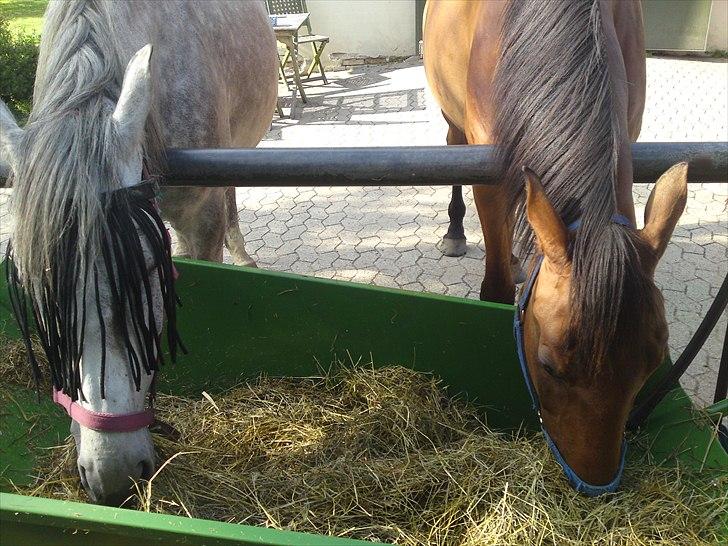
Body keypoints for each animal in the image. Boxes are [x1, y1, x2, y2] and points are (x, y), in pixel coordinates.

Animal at [424, 0, 684, 484]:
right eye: (548, 365)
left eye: (653, 362)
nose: (597, 481)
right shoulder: (489, 180)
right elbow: (496, 289)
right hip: (454, 124)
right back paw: (455, 232)